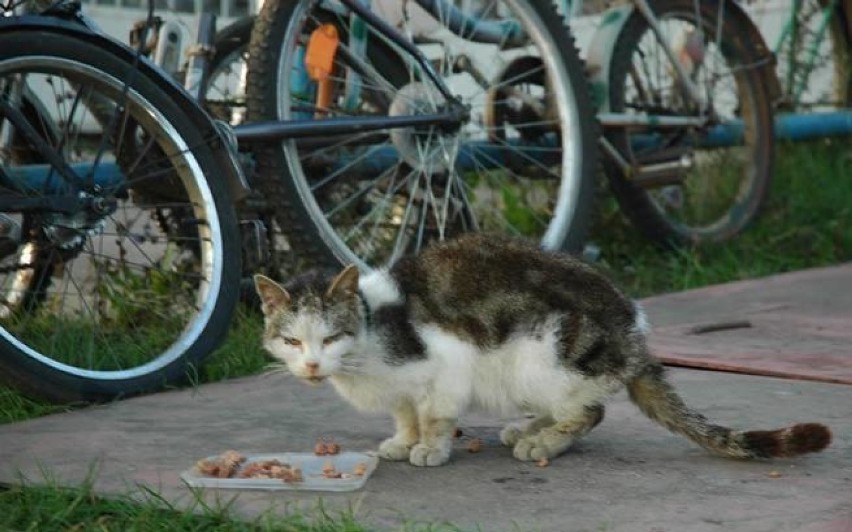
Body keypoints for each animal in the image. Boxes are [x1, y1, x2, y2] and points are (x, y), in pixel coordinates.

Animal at [253, 233, 832, 466]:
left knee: (592, 410)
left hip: (544, 353)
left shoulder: (445, 364)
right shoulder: (400, 386)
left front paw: (430, 448)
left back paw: (543, 441)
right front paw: (402, 439)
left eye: (331, 337)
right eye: (291, 340)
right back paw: (530, 427)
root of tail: (632, 334)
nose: (311, 364)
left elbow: (436, 414)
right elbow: (406, 412)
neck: (372, 334)